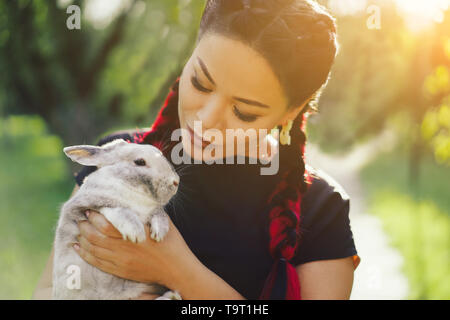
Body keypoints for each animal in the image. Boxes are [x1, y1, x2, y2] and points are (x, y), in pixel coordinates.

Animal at [51, 138, 181, 300]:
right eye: (140, 162)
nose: (175, 182)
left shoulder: (154, 209)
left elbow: (159, 213)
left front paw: (160, 233)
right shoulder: (89, 205)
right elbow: (120, 210)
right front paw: (136, 234)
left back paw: (172, 296)